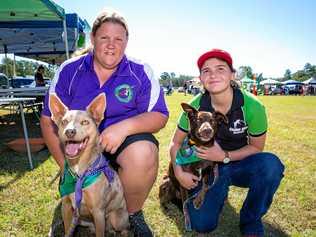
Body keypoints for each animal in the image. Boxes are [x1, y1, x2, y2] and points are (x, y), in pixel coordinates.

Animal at [49, 93, 128, 237]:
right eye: (64, 122)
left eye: (85, 122)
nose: (69, 132)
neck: (79, 172)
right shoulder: (66, 207)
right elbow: (67, 230)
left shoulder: (98, 212)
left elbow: (100, 233)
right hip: (82, 220)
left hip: (116, 218)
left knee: (125, 228)